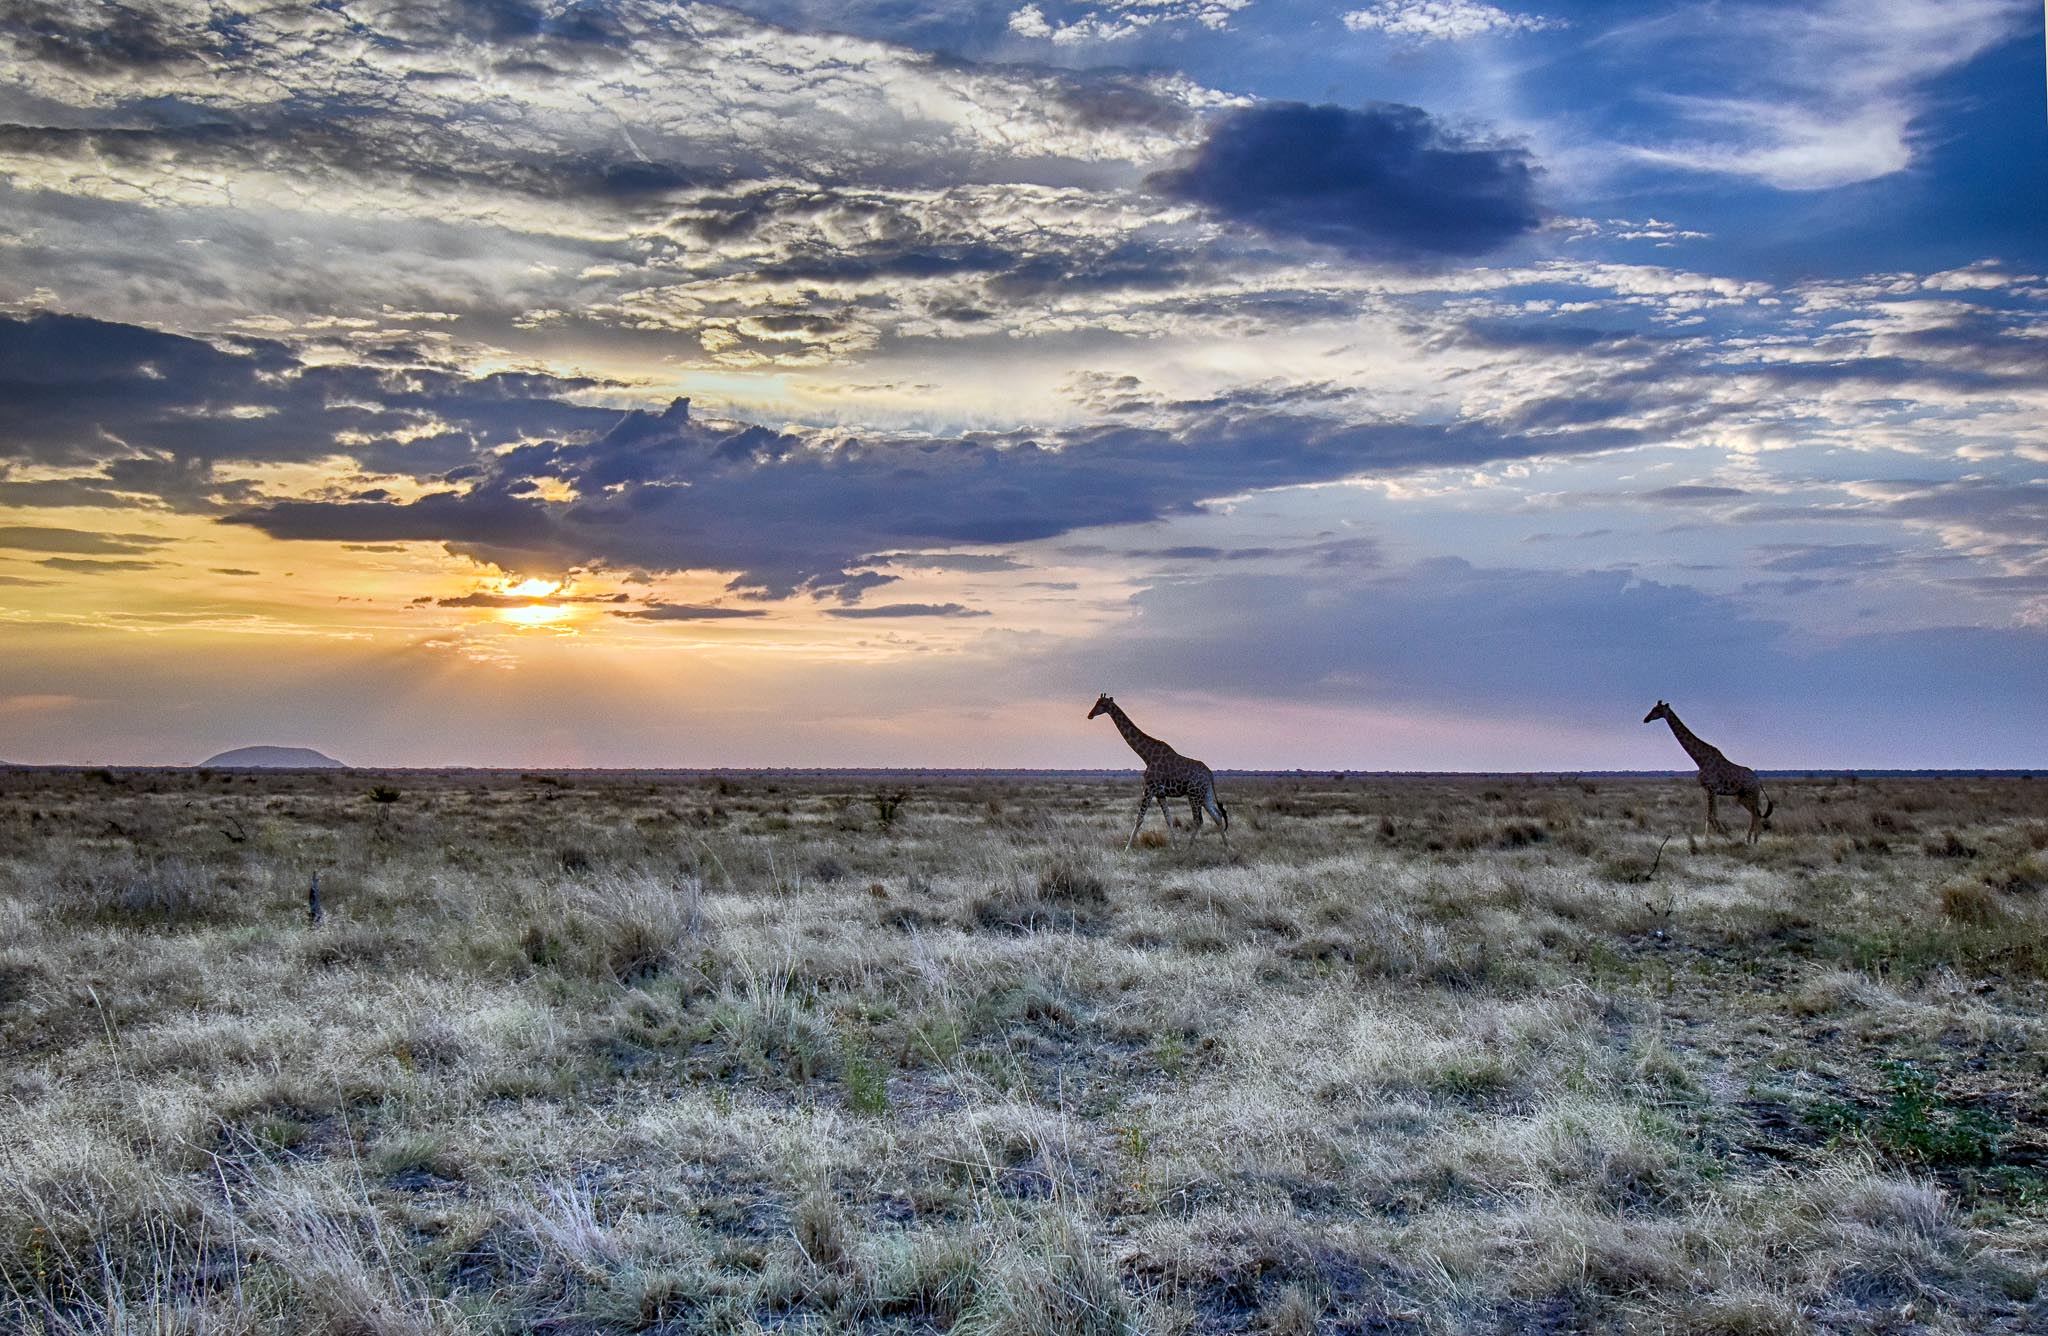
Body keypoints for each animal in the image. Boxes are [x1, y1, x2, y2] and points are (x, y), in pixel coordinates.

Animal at [1088, 694, 1229, 850]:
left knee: (1199, 820)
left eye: (1102, 704)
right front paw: (1175, 847)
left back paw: (1188, 848)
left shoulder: (1149, 789)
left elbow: (1139, 819)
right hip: (1205, 794)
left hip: (1194, 794)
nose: (1090, 715)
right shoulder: (1160, 794)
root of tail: (1210, 774)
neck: (1146, 756)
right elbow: (1168, 819)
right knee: (1217, 816)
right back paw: (1227, 847)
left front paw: (1127, 848)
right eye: (1096, 702)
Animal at [1643, 700, 1774, 844]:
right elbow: (1712, 815)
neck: (1700, 760)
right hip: (1741, 796)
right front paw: (1714, 838)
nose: (1646, 719)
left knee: (1756, 813)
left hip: (1752, 793)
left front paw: (1717, 838)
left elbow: (1710, 816)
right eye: (1652, 708)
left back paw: (1751, 839)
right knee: (1756, 812)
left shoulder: (1711, 788)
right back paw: (1752, 839)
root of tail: (1758, 780)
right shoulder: (1711, 790)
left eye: (1657, 710)